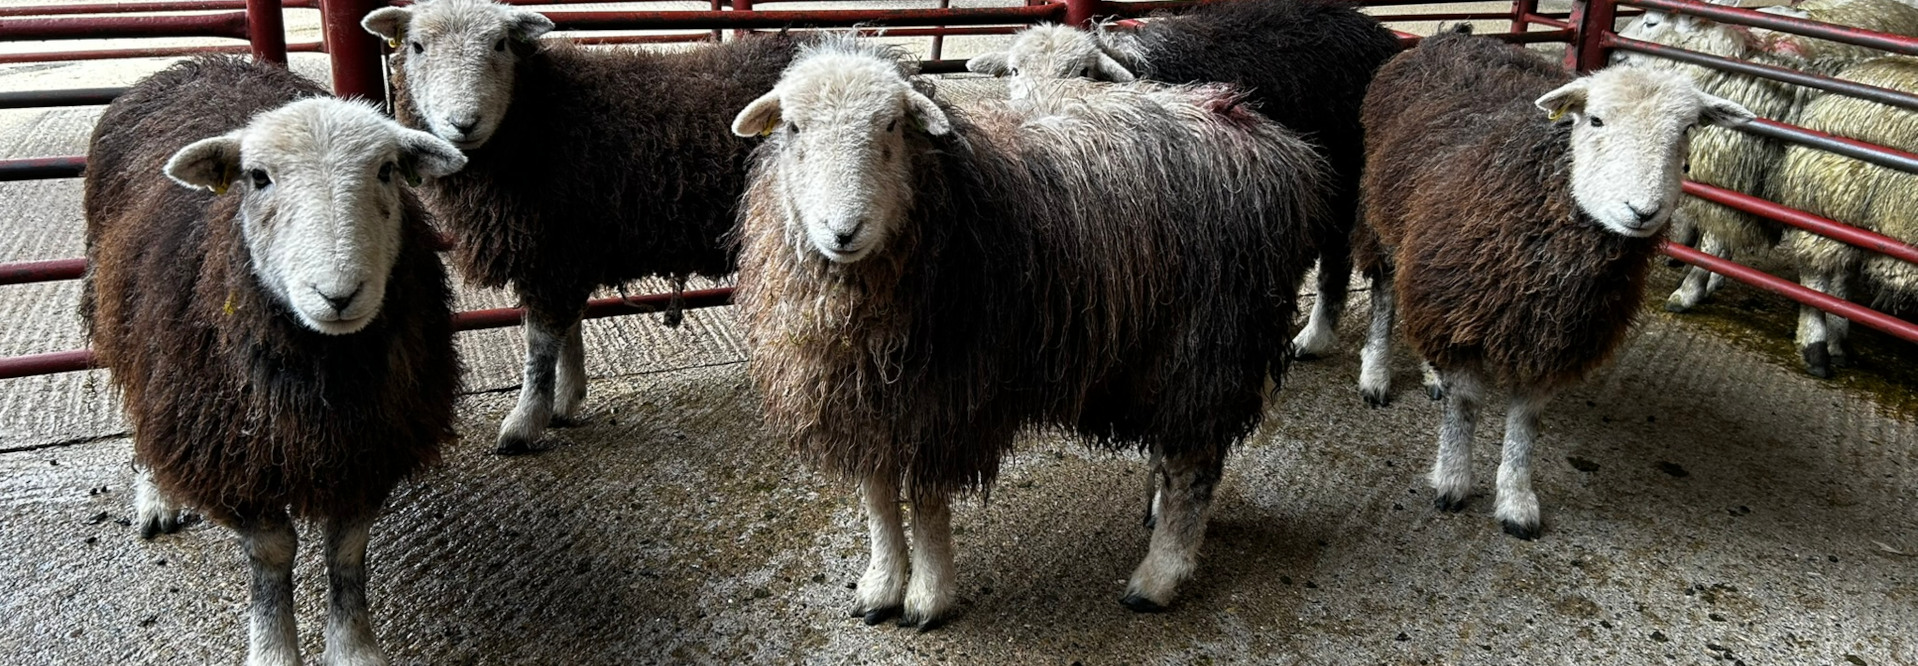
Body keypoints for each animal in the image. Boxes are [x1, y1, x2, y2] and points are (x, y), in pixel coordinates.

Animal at [81, 56, 465, 665]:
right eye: (258, 177)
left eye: (386, 171)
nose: (338, 294)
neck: (323, 369)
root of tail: (203, 63)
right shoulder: (231, 448)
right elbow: (272, 555)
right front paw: (274, 650)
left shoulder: (372, 441)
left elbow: (346, 549)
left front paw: (353, 648)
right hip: (131, 329)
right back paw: (158, 493)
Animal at [361, 0, 800, 454]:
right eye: (416, 46)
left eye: (501, 44)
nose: (463, 123)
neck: (541, 120)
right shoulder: (564, 247)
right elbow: (566, 331)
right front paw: (564, 403)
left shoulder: (551, 253)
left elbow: (540, 346)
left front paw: (523, 423)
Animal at [729, 36, 1326, 626]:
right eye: (793, 128)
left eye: (893, 126)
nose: (843, 231)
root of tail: (1272, 142)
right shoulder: (862, 400)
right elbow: (877, 497)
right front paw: (880, 586)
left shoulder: (943, 398)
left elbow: (925, 501)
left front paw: (928, 597)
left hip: (1210, 340)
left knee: (1194, 467)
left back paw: (1158, 577)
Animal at [965, 0, 1402, 360]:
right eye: (1015, 71)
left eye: (1083, 71)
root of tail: (1376, 33)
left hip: (1352, 173)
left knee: (1344, 262)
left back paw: (1325, 343)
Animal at [1353, 29, 1752, 539]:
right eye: (1595, 119)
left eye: (1686, 130)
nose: (1643, 211)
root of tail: (1456, 35)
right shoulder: (1465, 297)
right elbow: (1465, 405)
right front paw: (1453, 482)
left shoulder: (1552, 335)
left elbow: (1526, 422)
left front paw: (1516, 499)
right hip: (1384, 220)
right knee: (1386, 293)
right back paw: (1376, 374)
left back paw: (1430, 372)